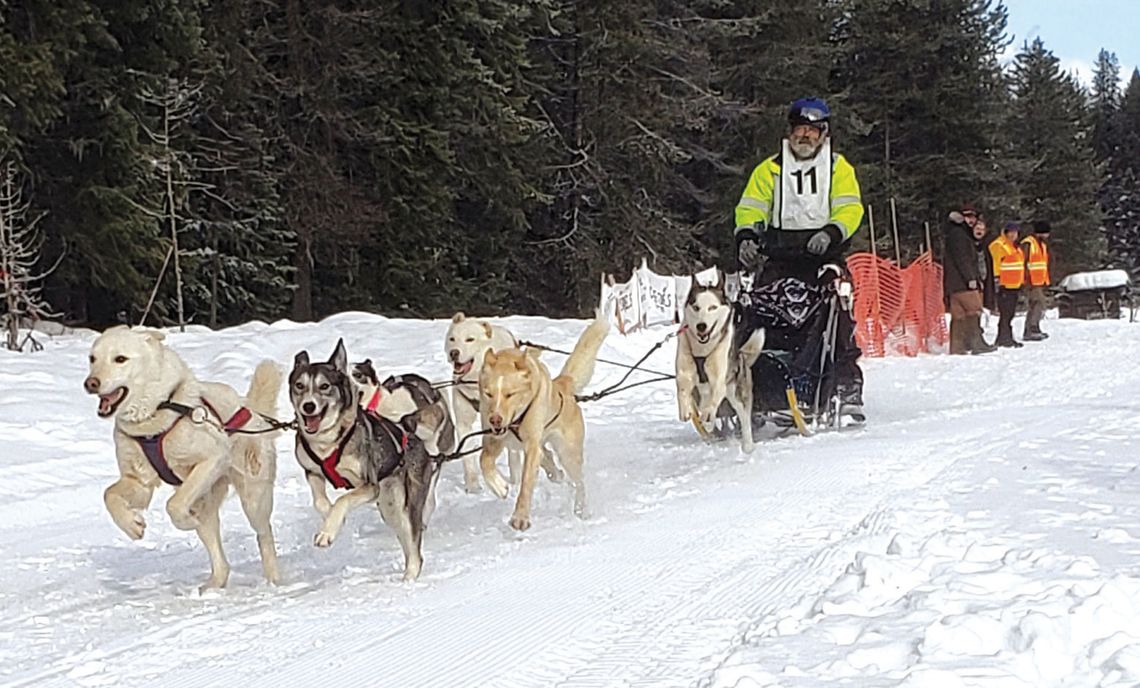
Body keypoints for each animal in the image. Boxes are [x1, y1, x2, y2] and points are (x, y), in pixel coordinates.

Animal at [83, 325, 280, 587]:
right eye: (92, 358)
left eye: (120, 359)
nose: (90, 383)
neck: (154, 416)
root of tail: (250, 409)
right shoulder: (140, 482)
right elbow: (109, 495)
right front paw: (132, 525)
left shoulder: (213, 458)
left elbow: (173, 505)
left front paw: (185, 521)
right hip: (206, 502)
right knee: (221, 562)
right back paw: (212, 587)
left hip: (253, 498)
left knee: (264, 534)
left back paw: (274, 580)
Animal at [476, 312, 611, 533]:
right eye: (488, 394)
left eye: (510, 394)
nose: (495, 419)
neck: (515, 422)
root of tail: (563, 385)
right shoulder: (494, 440)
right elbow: (484, 461)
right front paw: (499, 486)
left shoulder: (531, 446)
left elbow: (526, 484)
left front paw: (520, 517)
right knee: (548, 458)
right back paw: (555, 473)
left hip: (568, 454)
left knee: (578, 481)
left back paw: (581, 509)